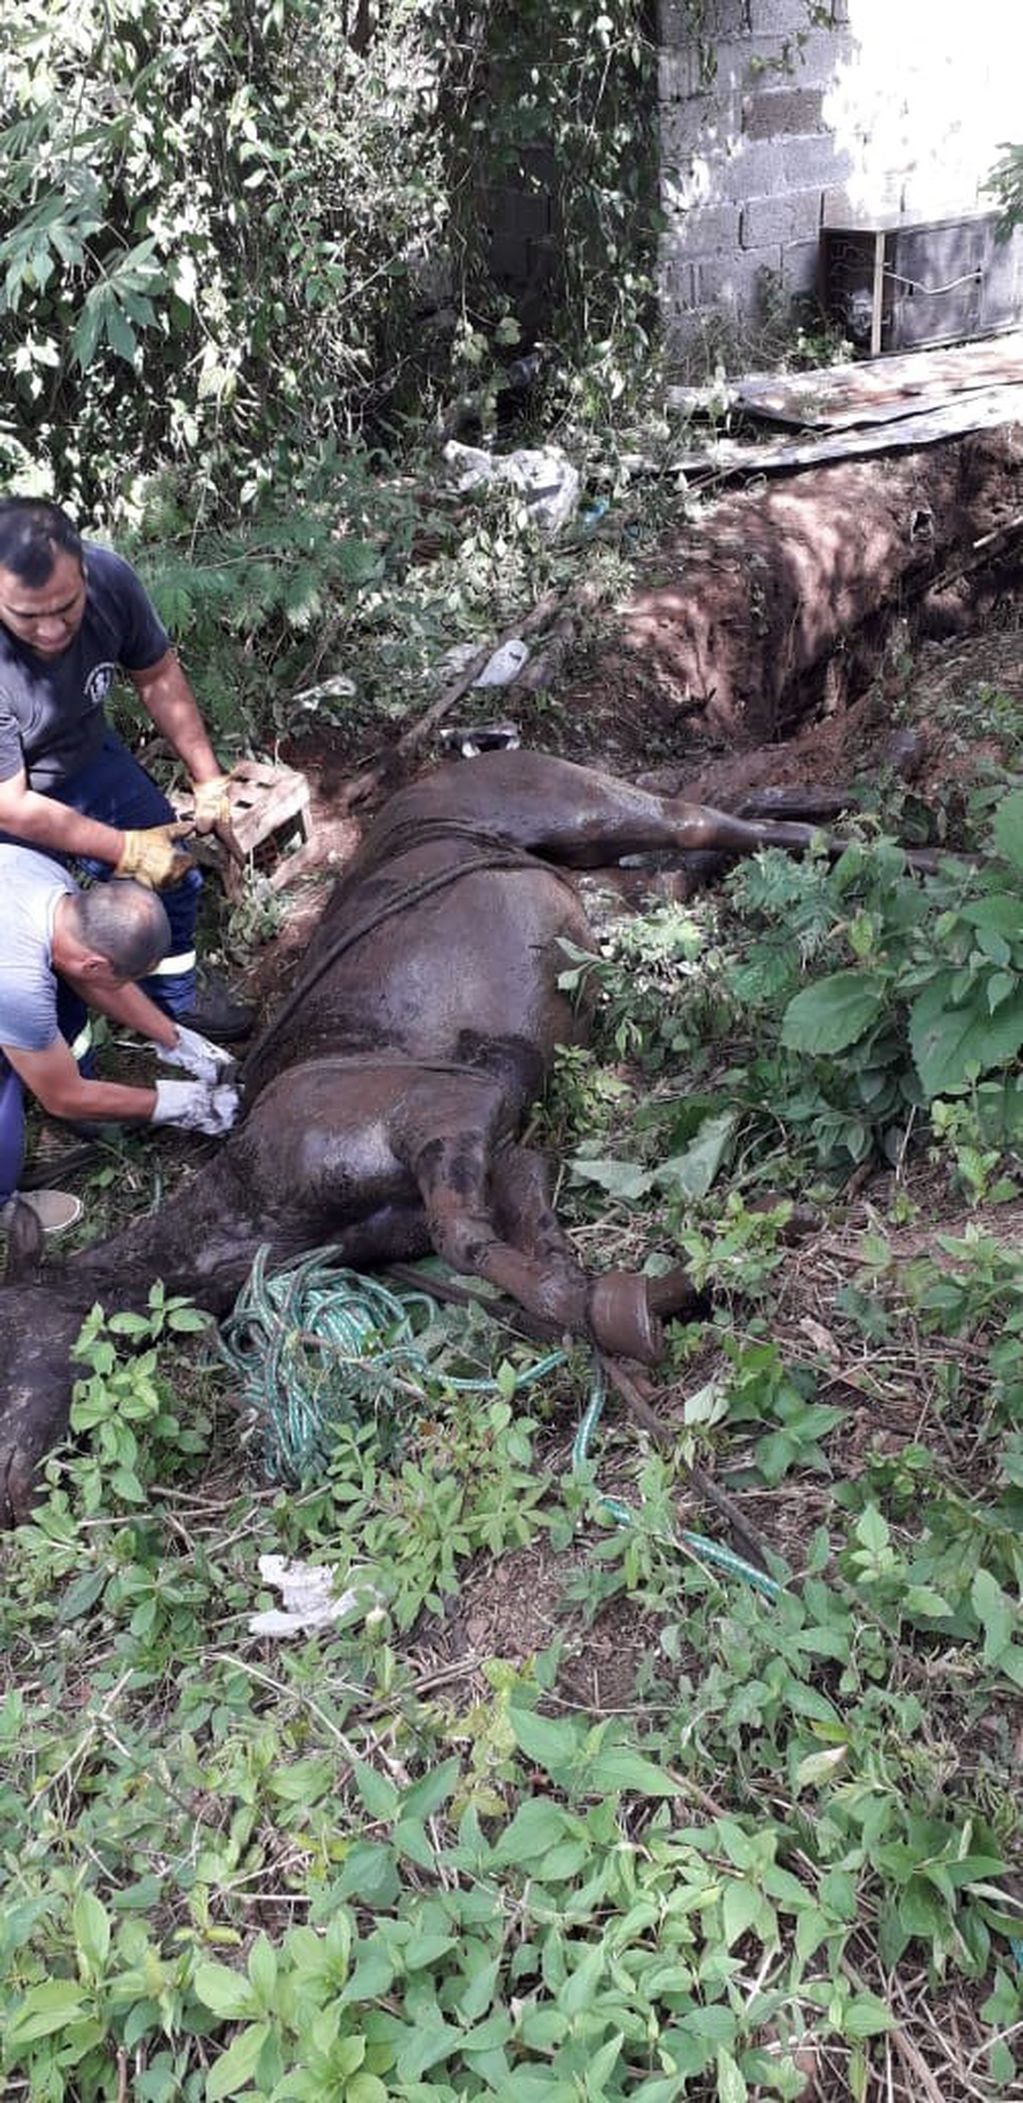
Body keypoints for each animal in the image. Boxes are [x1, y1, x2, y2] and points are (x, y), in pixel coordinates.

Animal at [1, 748, 871, 1522]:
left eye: (4, 1337)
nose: (12, 1494)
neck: (251, 1210)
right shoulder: (489, 1153)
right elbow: (527, 1251)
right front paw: (622, 1296)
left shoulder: (447, 1105)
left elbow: (467, 1241)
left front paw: (653, 1298)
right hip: (592, 891)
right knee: (697, 843)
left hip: (574, 807)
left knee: (701, 819)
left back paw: (864, 832)